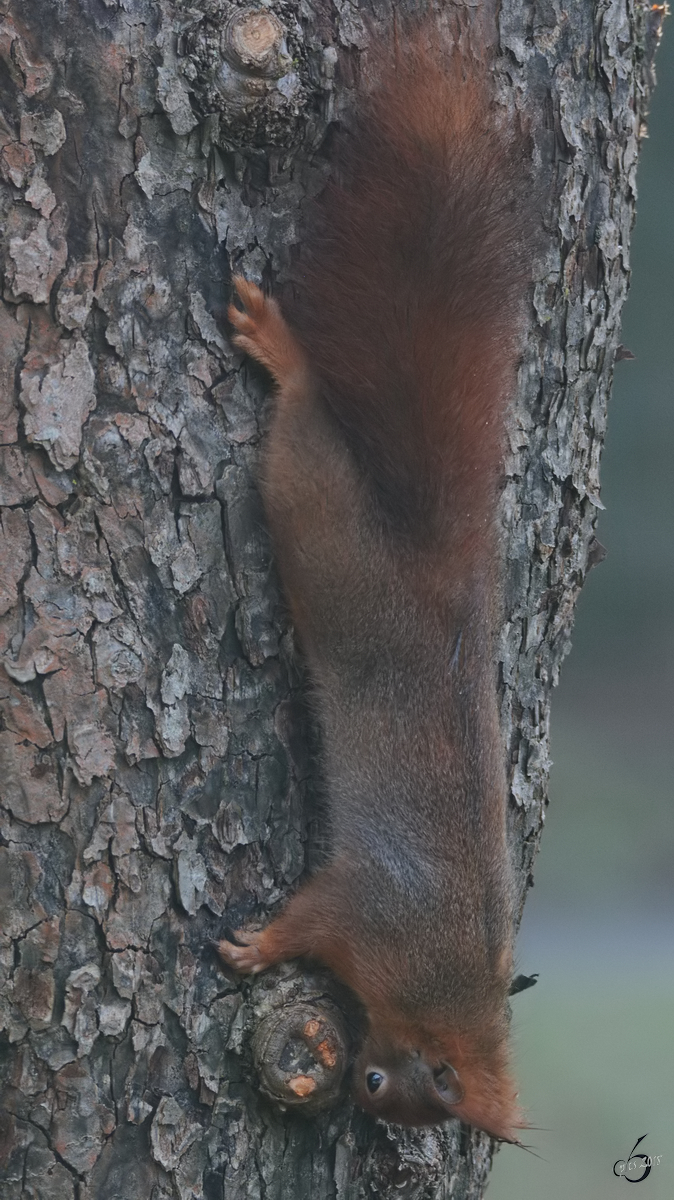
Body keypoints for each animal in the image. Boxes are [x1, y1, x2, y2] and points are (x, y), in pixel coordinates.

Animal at [218, 23, 537, 1137]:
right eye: (390, 1086)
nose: (356, 1079)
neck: (442, 983)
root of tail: (438, 564)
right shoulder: (366, 908)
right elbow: (309, 918)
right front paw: (258, 946)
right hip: (321, 523)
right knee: (305, 427)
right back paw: (283, 352)